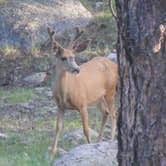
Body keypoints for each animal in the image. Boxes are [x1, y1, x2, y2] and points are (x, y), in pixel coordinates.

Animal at [47, 26, 118, 156]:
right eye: (63, 58)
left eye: (74, 57)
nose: (77, 69)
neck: (65, 93)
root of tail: (115, 65)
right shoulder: (60, 106)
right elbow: (58, 127)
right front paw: (52, 153)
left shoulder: (82, 104)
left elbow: (86, 130)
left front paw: (88, 146)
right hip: (98, 97)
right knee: (105, 112)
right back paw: (99, 141)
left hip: (110, 91)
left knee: (113, 114)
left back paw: (110, 139)